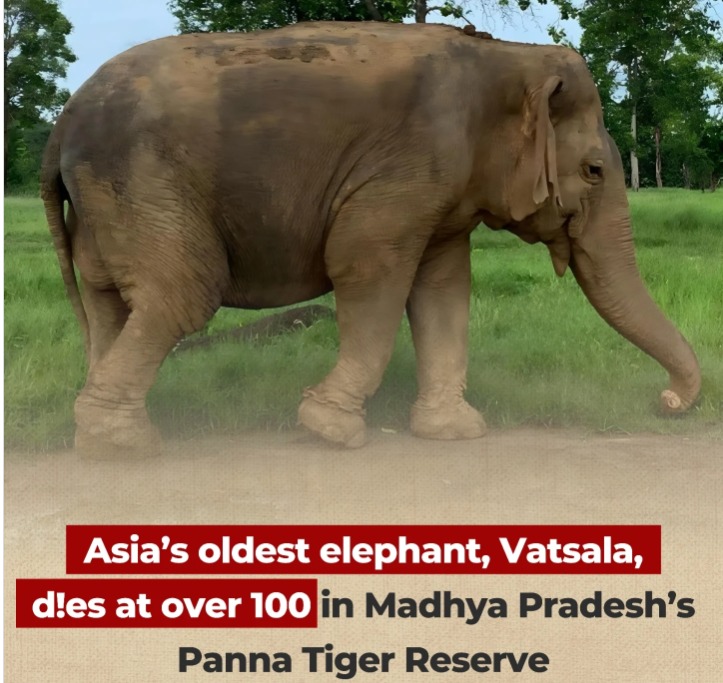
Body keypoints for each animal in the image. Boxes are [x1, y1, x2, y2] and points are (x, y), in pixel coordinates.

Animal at [41, 21, 701, 457]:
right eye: (593, 170)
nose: (665, 402)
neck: (507, 57)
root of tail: (62, 121)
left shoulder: (443, 193)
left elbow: (442, 289)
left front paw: (454, 433)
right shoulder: (407, 167)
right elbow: (368, 271)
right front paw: (330, 429)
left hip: (107, 205)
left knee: (108, 303)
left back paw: (101, 432)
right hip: (144, 182)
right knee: (182, 295)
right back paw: (125, 445)